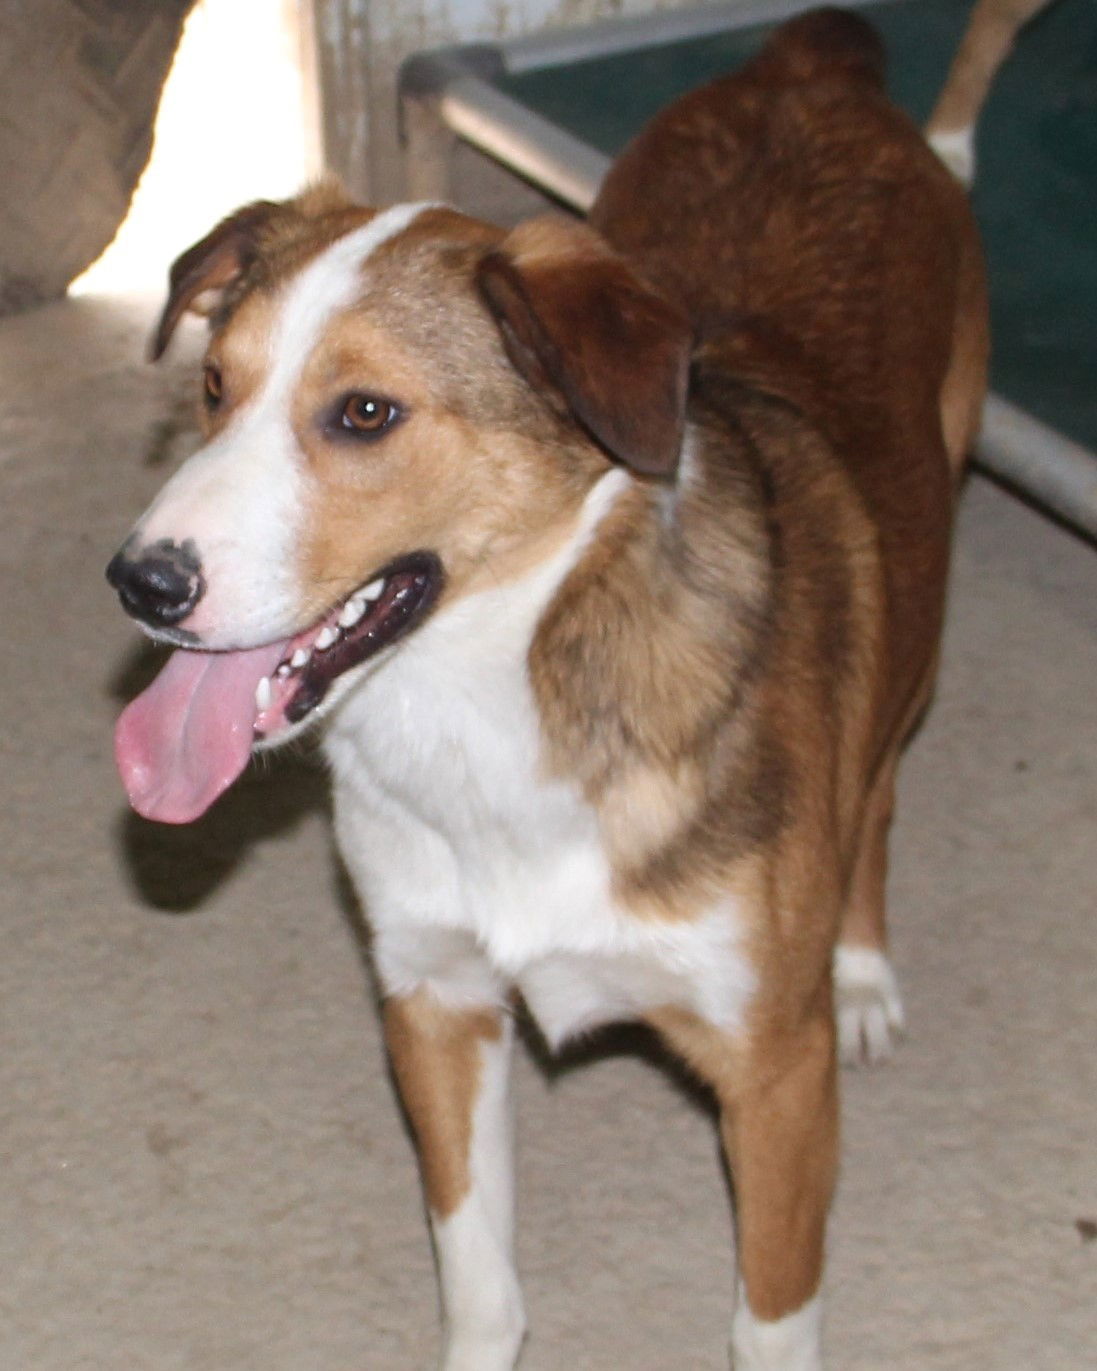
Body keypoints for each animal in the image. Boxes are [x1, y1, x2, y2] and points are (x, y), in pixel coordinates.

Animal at [106, 5, 1042, 1365]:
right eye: (214, 386)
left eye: (365, 412)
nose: (141, 582)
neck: (497, 708)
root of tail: (806, 63)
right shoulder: (435, 1002)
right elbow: (478, 1280)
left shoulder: (773, 1074)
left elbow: (767, 1321)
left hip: (918, 580)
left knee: (873, 797)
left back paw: (863, 968)